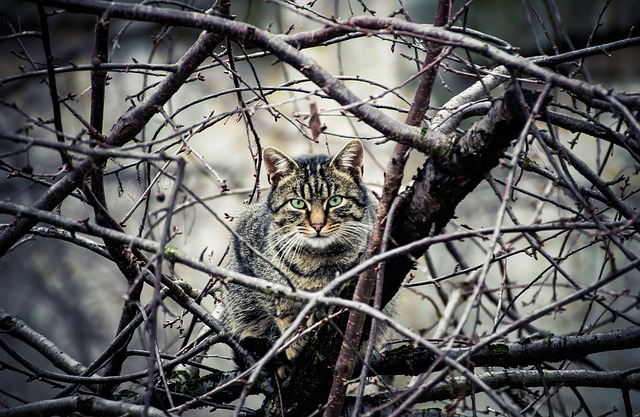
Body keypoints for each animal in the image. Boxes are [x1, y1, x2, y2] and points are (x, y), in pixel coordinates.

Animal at [224, 138, 376, 362]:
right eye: (298, 203)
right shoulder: (246, 253)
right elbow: (281, 308)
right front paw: (292, 337)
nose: (317, 225)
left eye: (335, 200)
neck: (318, 259)